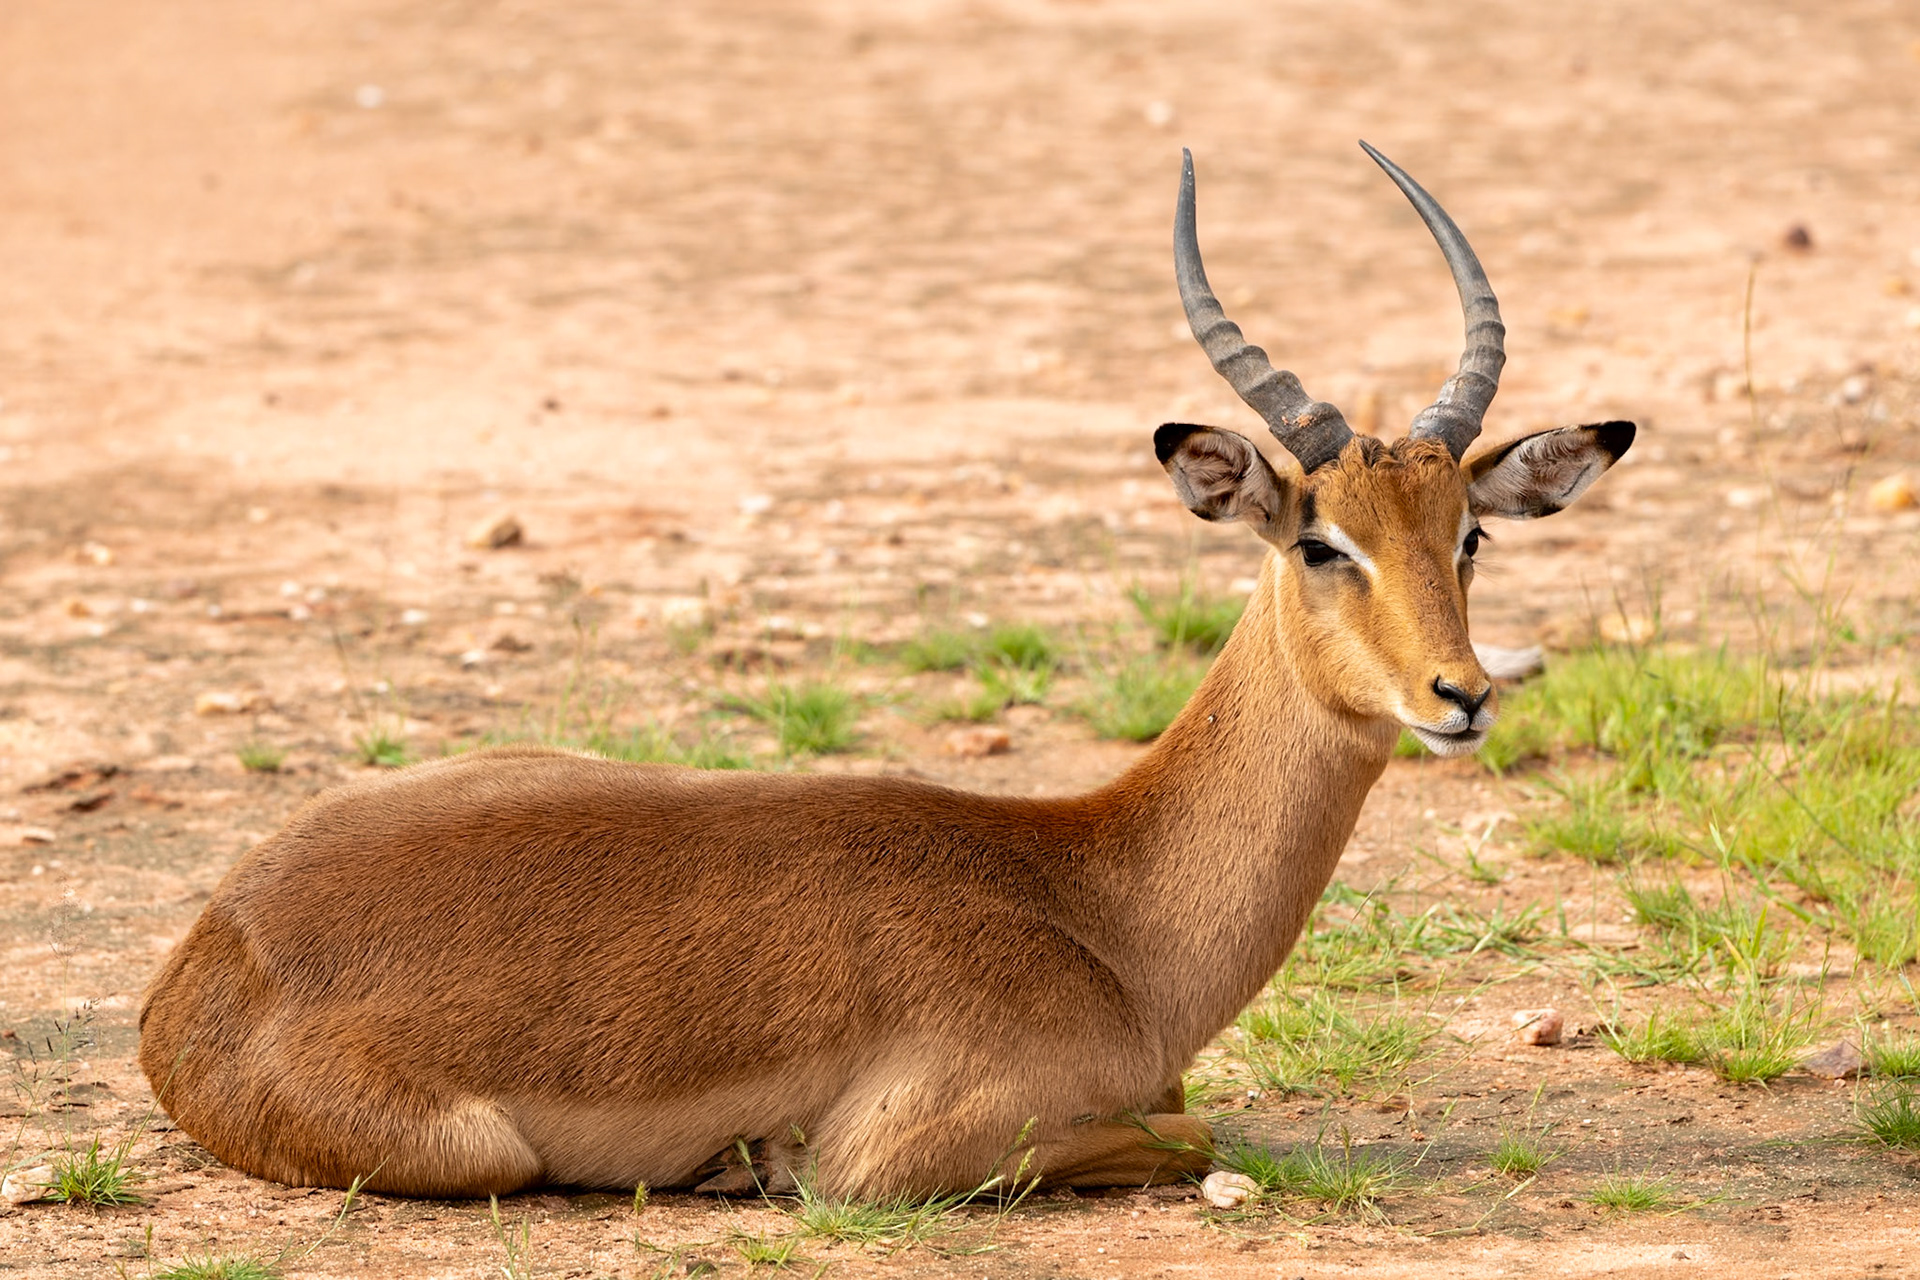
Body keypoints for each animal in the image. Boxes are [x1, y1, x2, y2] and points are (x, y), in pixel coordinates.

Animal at [138, 142, 1633, 1200]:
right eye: (1324, 541)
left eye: (1469, 532)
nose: (1461, 695)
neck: (1101, 907)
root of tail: (207, 956)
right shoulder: (908, 1152)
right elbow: (1203, 1133)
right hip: (478, 1149)